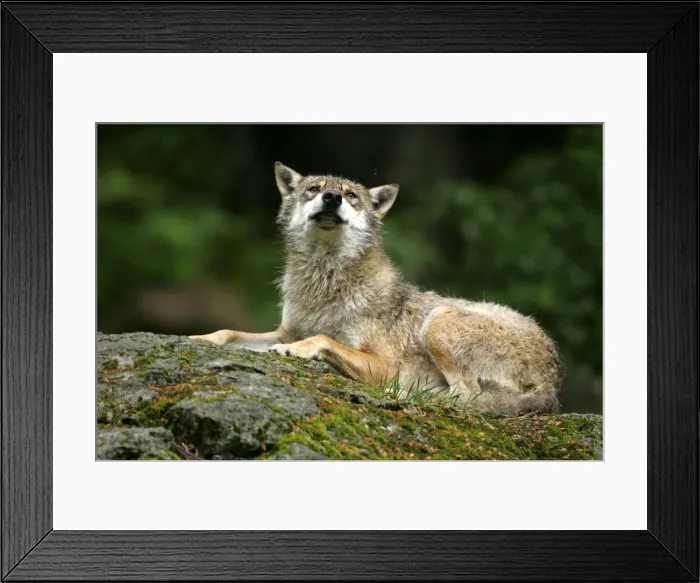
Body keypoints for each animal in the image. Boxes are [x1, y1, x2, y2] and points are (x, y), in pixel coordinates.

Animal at [190, 162, 563, 416]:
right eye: (314, 189)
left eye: (351, 196)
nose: (332, 197)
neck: (323, 284)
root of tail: (554, 379)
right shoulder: (285, 330)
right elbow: (229, 332)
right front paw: (199, 338)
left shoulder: (384, 365)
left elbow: (323, 338)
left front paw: (298, 351)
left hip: (439, 321)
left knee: (466, 394)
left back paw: (409, 395)